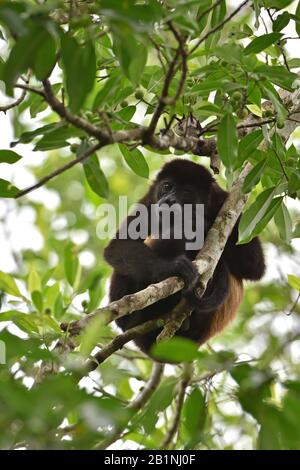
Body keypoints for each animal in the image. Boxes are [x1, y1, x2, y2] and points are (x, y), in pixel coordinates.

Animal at [103, 160, 264, 354]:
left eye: (187, 192)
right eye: (167, 186)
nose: (169, 200)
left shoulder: (224, 202)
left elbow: (255, 266)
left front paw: (195, 222)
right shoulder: (149, 202)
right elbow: (118, 247)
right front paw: (174, 267)